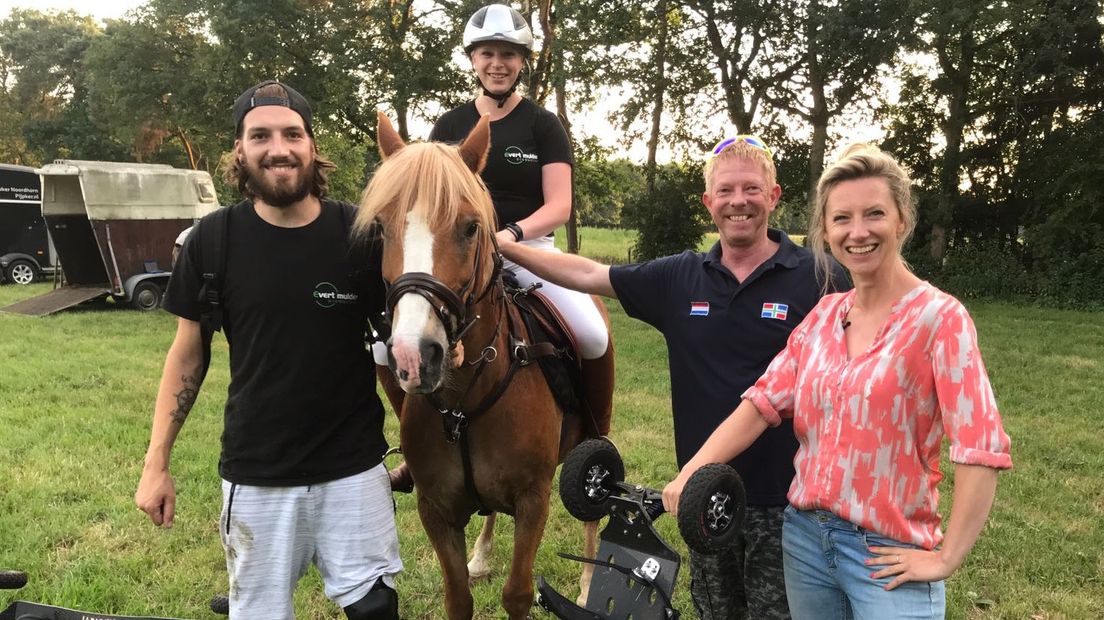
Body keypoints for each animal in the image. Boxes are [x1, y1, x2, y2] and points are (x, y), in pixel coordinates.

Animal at [353, 111, 613, 617]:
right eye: (382, 227)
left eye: (471, 227)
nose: (415, 355)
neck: (464, 403)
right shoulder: (435, 508)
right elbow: (458, 597)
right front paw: (474, 564)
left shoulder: (534, 499)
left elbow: (517, 593)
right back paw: (482, 555)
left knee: (594, 508)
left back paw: (589, 585)